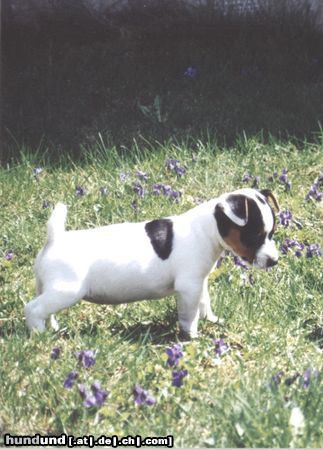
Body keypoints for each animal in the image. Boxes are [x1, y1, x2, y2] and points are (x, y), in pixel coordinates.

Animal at [24, 186, 280, 338]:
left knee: (45, 310)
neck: (206, 228)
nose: (274, 261)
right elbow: (189, 315)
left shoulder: (199, 282)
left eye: (272, 233)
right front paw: (192, 336)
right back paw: (39, 335)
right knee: (33, 308)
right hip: (67, 291)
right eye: (254, 235)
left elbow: (204, 303)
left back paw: (52, 328)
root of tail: (55, 238)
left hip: (51, 289)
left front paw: (213, 320)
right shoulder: (188, 288)